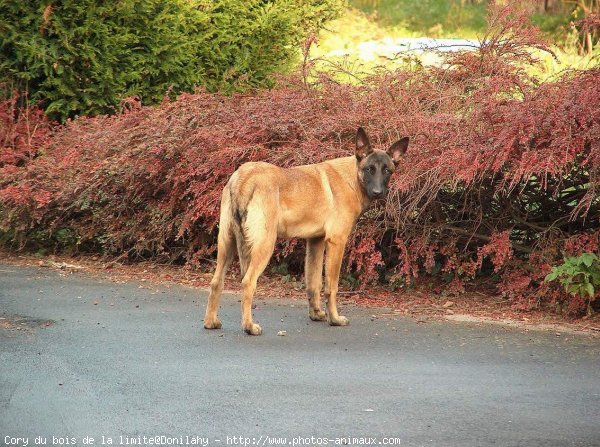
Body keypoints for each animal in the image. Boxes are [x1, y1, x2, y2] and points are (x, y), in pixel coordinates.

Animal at [203, 128, 408, 334]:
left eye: (387, 170)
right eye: (369, 169)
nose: (378, 192)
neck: (352, 178)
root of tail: (245, 178)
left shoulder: (315, 242)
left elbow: (313, 282)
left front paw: (316, 314)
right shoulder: (336, 242)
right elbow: (331, 286)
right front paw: (334, 318)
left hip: (226, 245)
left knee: (216, 282)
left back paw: (211, 322)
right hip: (264, 245)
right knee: (247, 282)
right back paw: (249, 326)